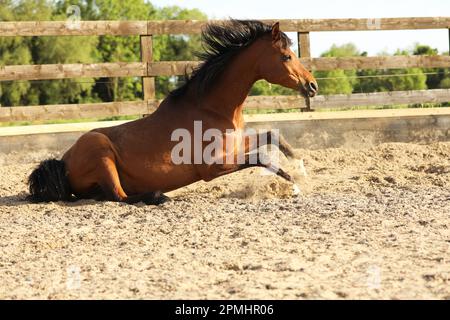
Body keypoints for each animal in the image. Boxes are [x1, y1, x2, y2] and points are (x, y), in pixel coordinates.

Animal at [28, 20, 318, 205]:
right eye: (286, 57)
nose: (312, 85)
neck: (212, 108)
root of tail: (63, 161)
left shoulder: (235, 147)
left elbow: (273, 137)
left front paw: (300, 171)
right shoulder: (212, 167)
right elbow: (262, 157)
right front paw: (294, 184)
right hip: (100, 150)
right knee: (121, 197)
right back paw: (158, 196)